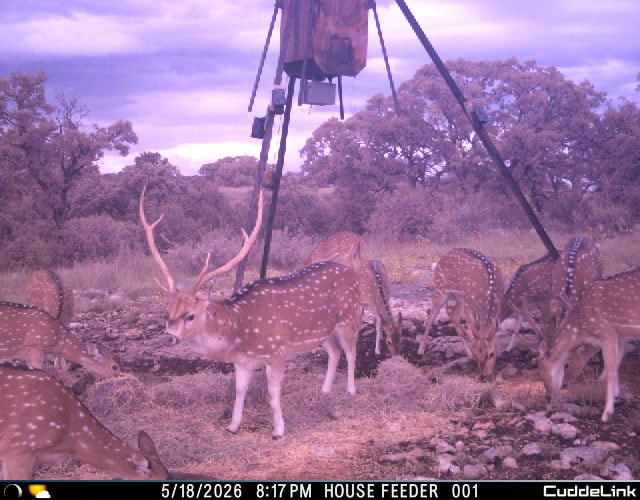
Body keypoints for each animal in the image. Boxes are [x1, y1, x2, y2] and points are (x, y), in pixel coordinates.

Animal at [140, 186, 362, 438]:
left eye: (190, 315)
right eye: (166, 313)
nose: (169, 336)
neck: (240, 329)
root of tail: (352, 273)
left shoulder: (276, 352)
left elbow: (273, 393)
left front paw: (278, 431)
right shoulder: (243, 361)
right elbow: (239, 390)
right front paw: (233, 426)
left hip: (350, 317)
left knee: (351, 352)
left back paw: (351, 390)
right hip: (324, 331)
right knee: (334, 352)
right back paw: (324, 391)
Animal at [417, 248, 505, 378]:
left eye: (491, 354)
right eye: (477, 355)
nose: (485, 376)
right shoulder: (469, 304)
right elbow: (472, 329)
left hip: (459, 298)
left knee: (452, 313)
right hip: (440, 289)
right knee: (433, 315)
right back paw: (421, 350)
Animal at [538, 267, 640, 422]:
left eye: (541, 369)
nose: (548, 397)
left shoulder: (606, 332)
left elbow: (610, 370)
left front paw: (607, 413)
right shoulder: (621, 336)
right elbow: (617, 364)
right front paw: (617, 395)